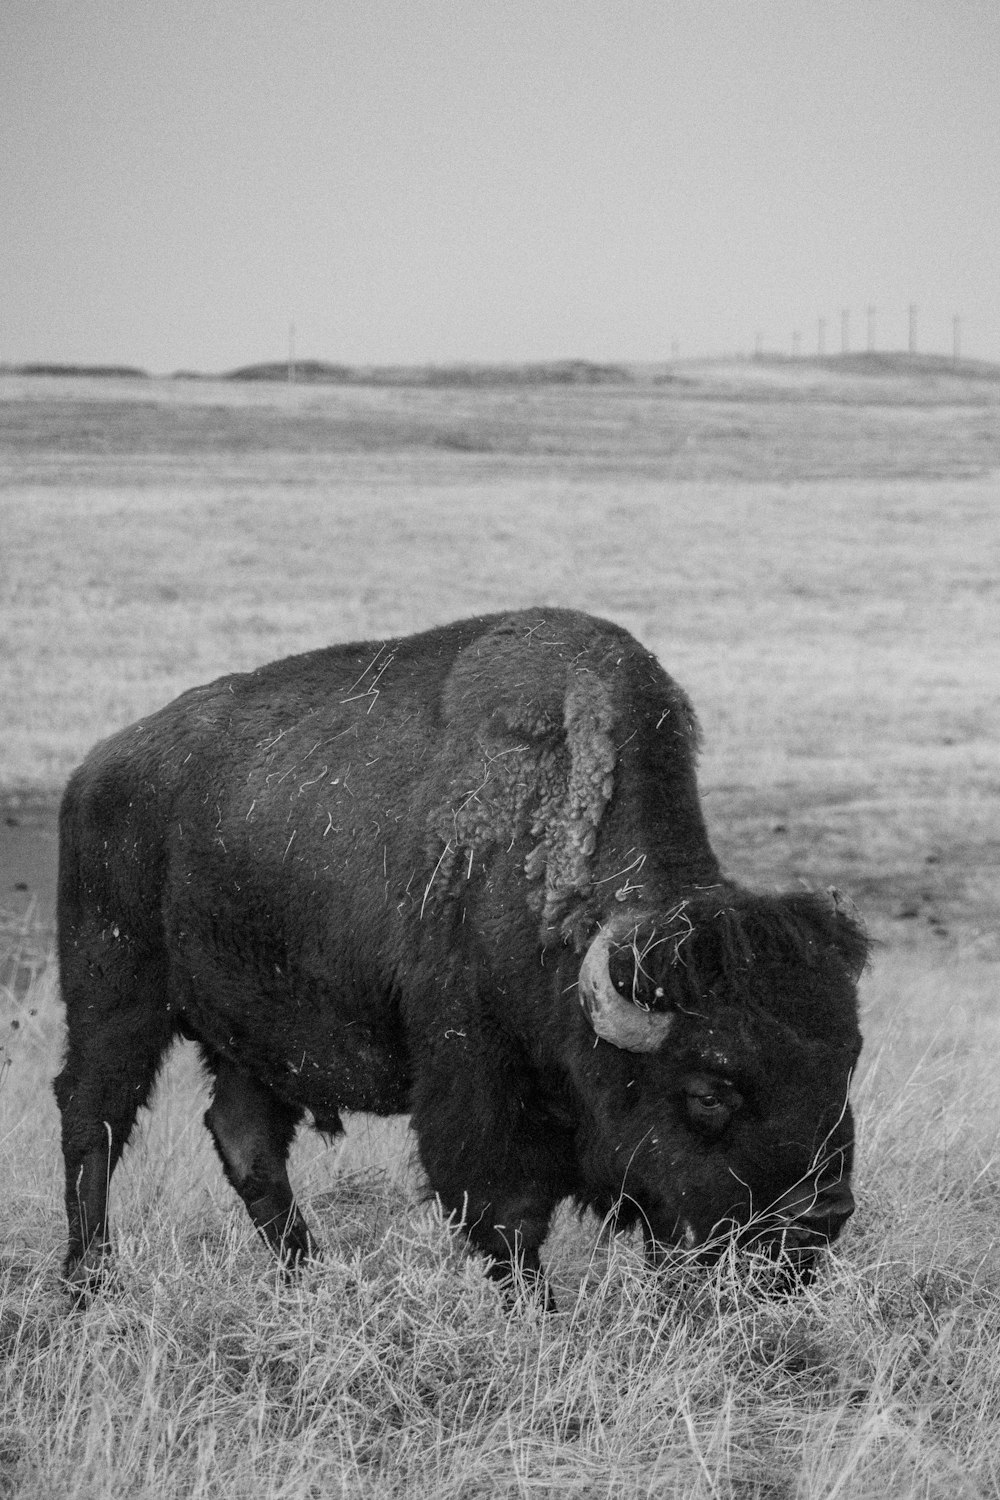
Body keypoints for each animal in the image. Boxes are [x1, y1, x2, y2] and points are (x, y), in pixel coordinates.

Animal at [54, 609, 869, 1302]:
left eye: (845, 1063)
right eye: (708, 1092)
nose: (820, 1218)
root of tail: (95, 768)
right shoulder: (475, 1081)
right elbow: (508, 1217)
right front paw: (539, 1316)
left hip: (252, 1039)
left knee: (245, 1139)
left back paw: (305, 1281)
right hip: (115, 997)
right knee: (93, 1119)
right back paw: (91, 1282)